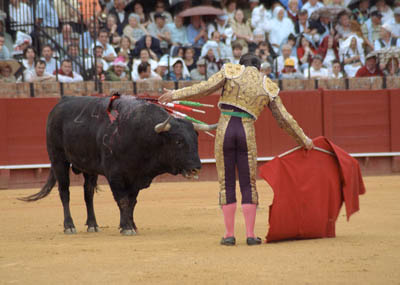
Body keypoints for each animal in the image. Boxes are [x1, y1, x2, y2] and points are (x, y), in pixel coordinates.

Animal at [21, 95, 214, 233]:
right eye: (178, 141)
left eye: (195, 140)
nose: (197, 166)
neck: (142, 134)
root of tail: (60, 103)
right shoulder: (115, 176)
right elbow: (122, 200)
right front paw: (127, 227)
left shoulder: (137, 177)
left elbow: (132, 201)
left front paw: (130, 224)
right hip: (58, 159)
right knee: (64, 192)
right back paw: (69, 226)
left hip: (89, 168)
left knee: (88, 193)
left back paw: (93, 225)